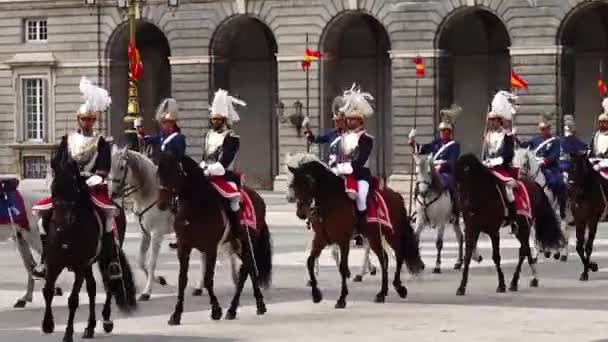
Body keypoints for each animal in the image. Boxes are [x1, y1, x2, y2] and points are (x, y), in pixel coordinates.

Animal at [42, 156, 137, 342]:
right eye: (53, 189)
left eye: (75, 190)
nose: (61, 226)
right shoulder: (54, 263)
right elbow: (48, 291)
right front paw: (48, 324)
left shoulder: (79, 266)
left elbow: (73, 299)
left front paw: (68, 333)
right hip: (88, 265)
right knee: (92, 288)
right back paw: (90, 327)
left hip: (106, 258)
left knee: (110, 284)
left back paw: (106, 320)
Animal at [156, 152, 272, 324]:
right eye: (158, 172)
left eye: (175, 172)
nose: (161, 203)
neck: (196, 207)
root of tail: (258, 198)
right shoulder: (184, 247)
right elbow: (182, 280)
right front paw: (176, 314)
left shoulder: (210, 248)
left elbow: (208, 279)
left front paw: (216, 310)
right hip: (237, 244)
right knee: (249, 267)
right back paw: (254, 306)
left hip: (246, 241)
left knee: (245, 270)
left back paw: (236, 308)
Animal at [284, 154, 422, 308]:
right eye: (293, 184)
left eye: (309, 183)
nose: (301, 213)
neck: (330, 202)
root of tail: (396, 195)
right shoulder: (321, 239)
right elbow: (310, 261)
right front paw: (316, 294)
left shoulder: (343, 240)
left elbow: (343, 267)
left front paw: (342, 298)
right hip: (374, 236)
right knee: (384, 258)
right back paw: (382, 293)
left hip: (392, 233)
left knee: (399, 255)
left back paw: (398, 287)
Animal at [454, 154, 564, 296]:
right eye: (458, 182)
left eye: (469, 178)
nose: (464, 205)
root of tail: (535, 185)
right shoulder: (471, 229)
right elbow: (467, 257)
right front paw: (461, 286)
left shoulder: (493, 231)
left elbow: (496, 257)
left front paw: (501, 285)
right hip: (519, 228)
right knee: (526, 249)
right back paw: (530, 279)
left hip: (525, 225)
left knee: (523, 251)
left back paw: (516, 281)